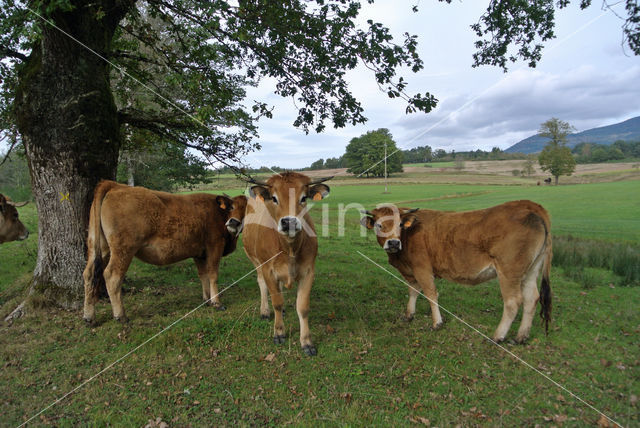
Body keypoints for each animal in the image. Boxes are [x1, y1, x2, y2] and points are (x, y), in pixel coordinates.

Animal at [82, 181, 248, 324]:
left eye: (249, 209)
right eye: (231, 207)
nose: (234, 222)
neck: (218, 213)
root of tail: (115, 185)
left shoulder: (199, 253)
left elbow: (203, 276)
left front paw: (206, 299)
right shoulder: (214, 246)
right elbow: (213, 274)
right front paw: (216, 302)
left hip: (99, 247)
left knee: (89, 273)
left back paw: (89, 317)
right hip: (123, 250)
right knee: (112, 276)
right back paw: (120, 315)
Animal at [240, 172, 330, 356]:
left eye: (304, 198)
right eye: (274, 198)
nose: (289, 222)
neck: (289, 249)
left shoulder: (308, 271)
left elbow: (302, 307)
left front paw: (307, 342)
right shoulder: (268, 270)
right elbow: (276, 301)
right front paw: (279, 332)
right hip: (255, 260)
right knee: (262, 284)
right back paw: (265, 311)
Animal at [362, 201, 552, 344]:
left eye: (400, 224)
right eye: (379, 224)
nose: (393, 243)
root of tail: (528, 206)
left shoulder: (422, 268)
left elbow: (430, 293)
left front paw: (437, 323)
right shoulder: (411, 271)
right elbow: (413, 291)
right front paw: (409, 315)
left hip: (509, 271)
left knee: (513, 302)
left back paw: (497, 336)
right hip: (530, 271)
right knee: (531, 299)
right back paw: (521, 337)